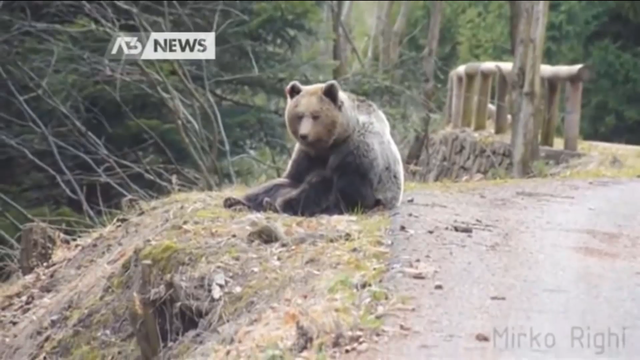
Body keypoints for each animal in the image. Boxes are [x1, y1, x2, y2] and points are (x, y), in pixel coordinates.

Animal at [225, 80, 402, 215]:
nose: (304, 135)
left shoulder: (356, 152)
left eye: (316, 115)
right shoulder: (307, 154)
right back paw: (234, 201)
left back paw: (276, 205)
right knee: (275, 186)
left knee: (319, 185)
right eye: (300, 115)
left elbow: (349, 190)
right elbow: (291, 177)